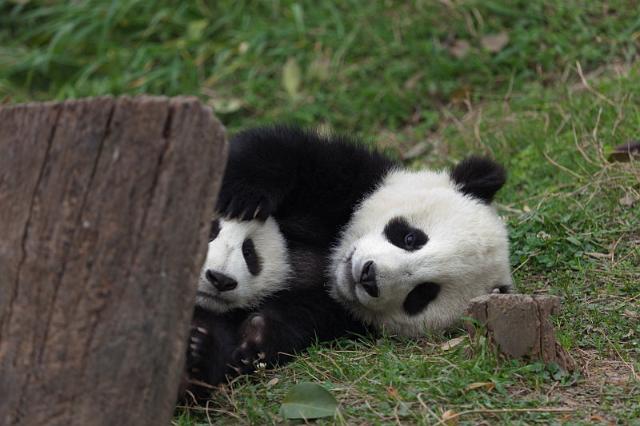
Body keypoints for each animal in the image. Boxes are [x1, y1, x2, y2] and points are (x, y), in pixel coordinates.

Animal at [218, 125, 512, 346]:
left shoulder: (334, 313)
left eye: (421, 294)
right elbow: (280, 152)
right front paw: (246, 197)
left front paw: (257, 336)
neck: (328, 264)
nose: (369, 276)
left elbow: (299, 318)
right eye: (411, 238)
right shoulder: (352, 179)